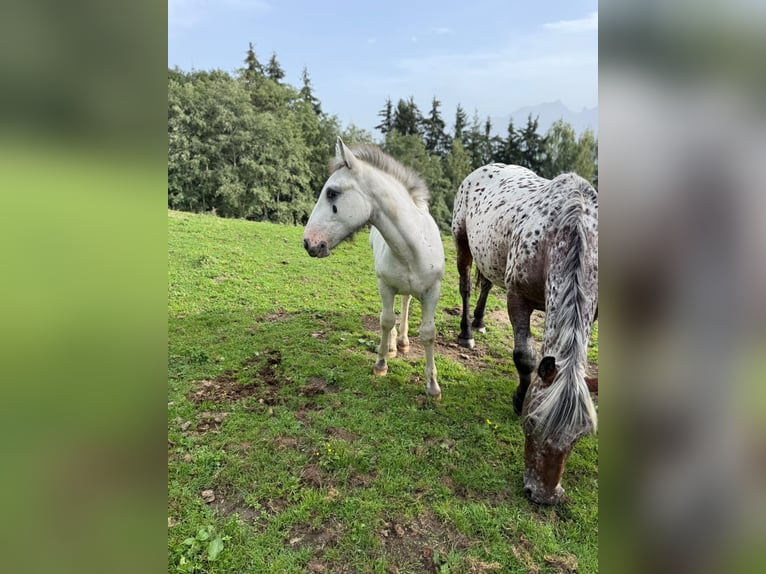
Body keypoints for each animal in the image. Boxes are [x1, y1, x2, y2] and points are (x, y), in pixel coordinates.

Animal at [303, 137, 445, 399]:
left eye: (332, 192)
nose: (309, 242)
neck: (413, 246)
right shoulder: (385, 285)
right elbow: (386, 320)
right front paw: (381, 364)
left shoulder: (433, 291)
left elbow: (428, 333)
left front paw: (432, 386)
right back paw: (392, 346)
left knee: (406, 301)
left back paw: (403, 342)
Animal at [451, 164, 598, 504]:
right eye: (531, 422)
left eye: (580, 436)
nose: (544, 495)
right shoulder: (517, 298)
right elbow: (525, 358)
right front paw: (519, 398)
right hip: (462, 241)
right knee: (466, 285)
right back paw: (467, 332)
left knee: (486, 282)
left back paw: (479, 321)